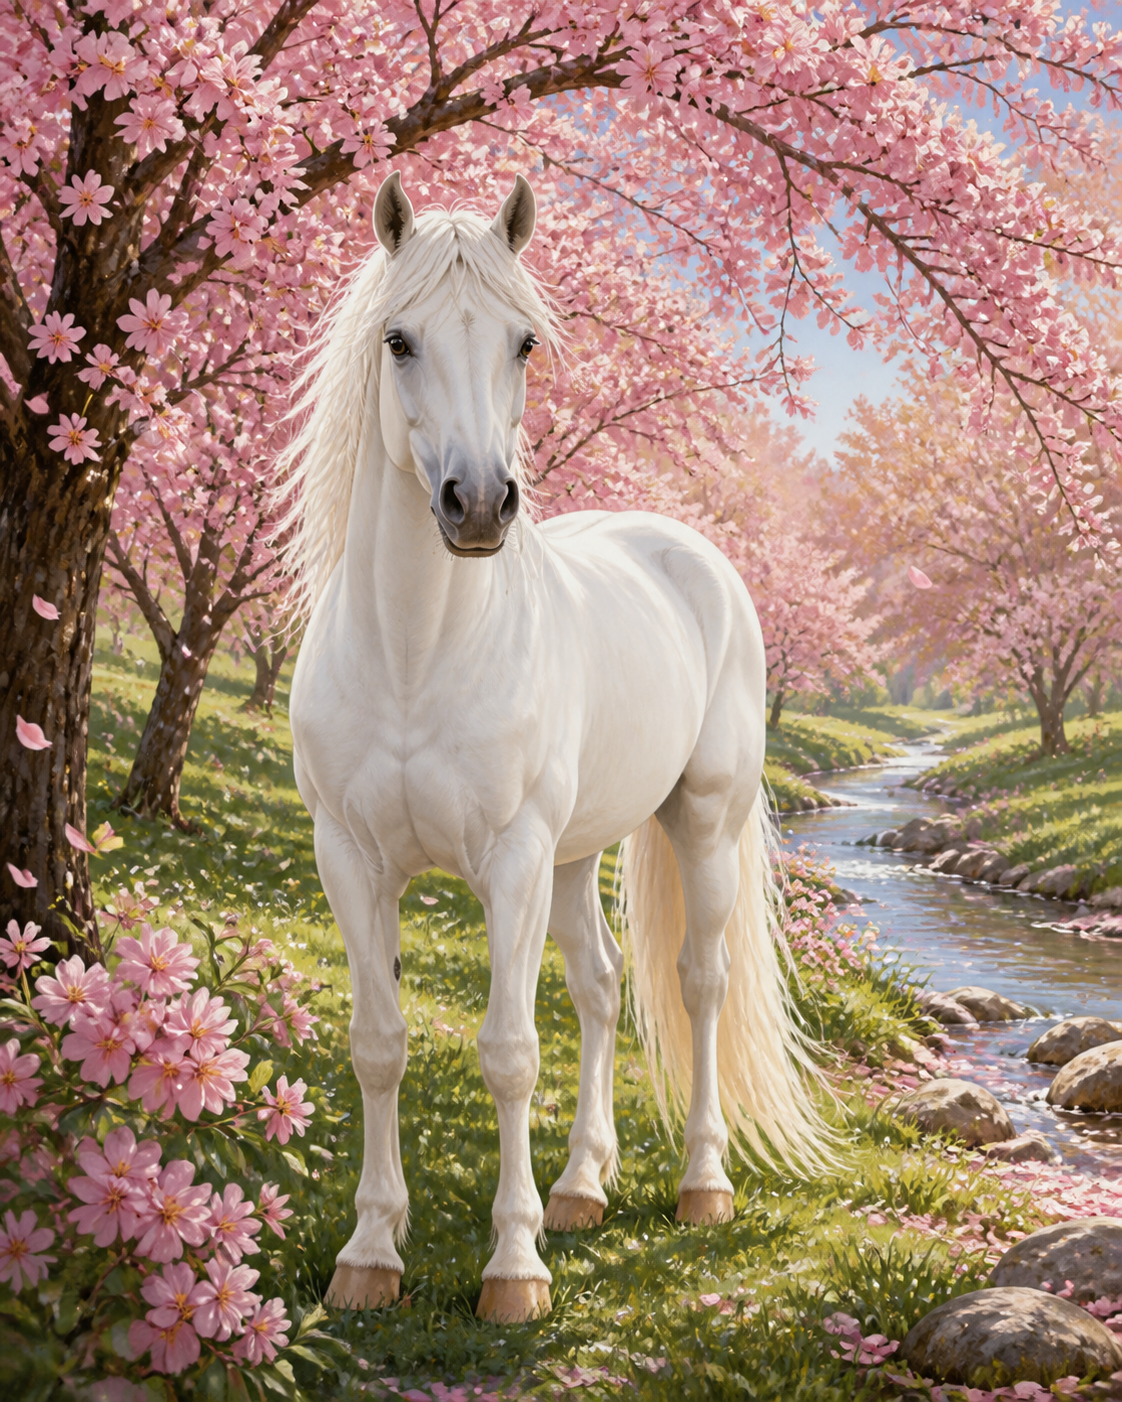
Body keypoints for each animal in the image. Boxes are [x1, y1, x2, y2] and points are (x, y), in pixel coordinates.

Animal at [284, 171, 830, 1324]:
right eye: (398, 339)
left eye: (524, 342)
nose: (481, 504)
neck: (416, 655)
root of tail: (690, 547)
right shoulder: (350, 861)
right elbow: (379, 1045)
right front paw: (371, 1253)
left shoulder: (512, 863)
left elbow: (506, 1052)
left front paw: (513, 1269)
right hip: (579, 855)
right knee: (604, 987)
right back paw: (581, 1187)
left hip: (695, 824)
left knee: (698, 982)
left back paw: (701, 1184)